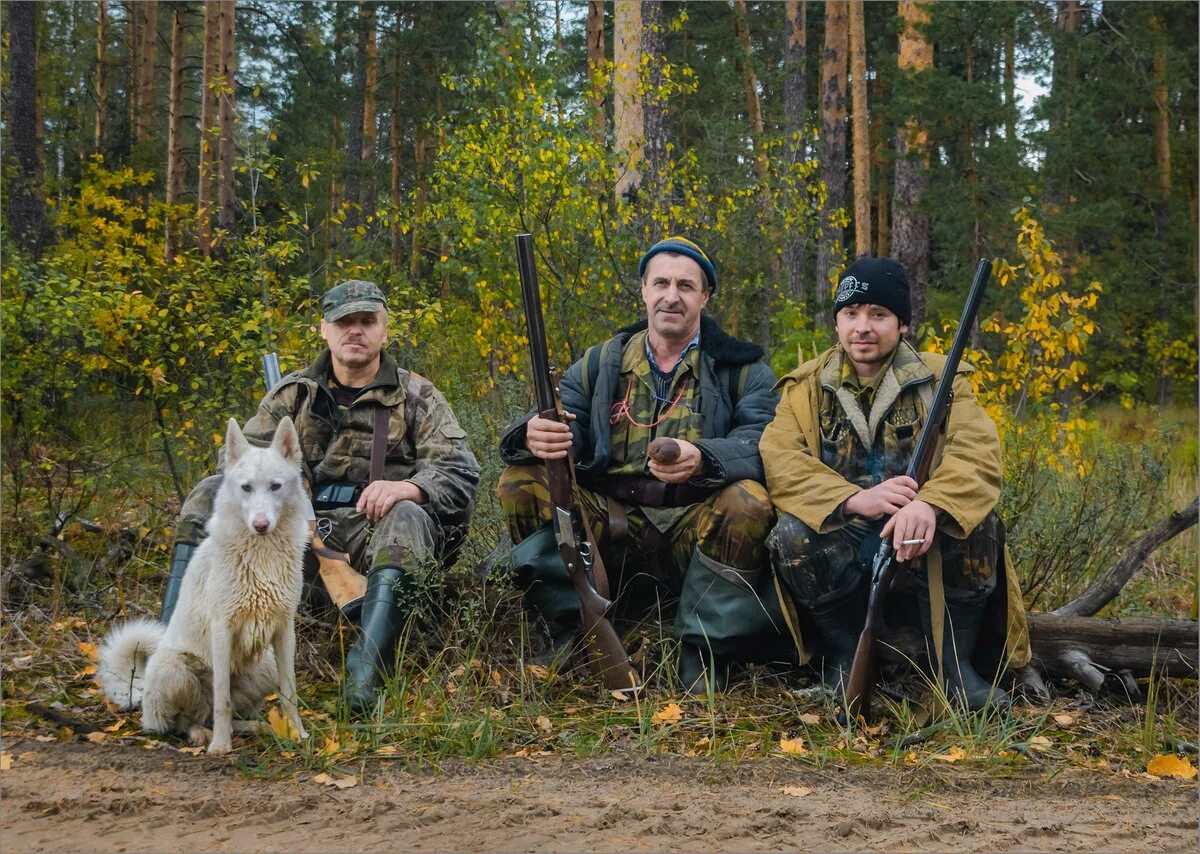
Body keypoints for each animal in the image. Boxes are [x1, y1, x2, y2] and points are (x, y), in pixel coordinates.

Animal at [98, 419, 309, 753]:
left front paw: (297, 734)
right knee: (188, 720)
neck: (260, 556)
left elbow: (290, 695)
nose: (261, 525)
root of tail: (142, 693)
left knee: (226, 715)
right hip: (174, 669)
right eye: (246, 487)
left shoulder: (284, 630)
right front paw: (221, 747)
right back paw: (202, 736)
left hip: (265, 664)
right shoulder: (223, 629)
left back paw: (256, 727)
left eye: (275, 486)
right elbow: (222, 701)